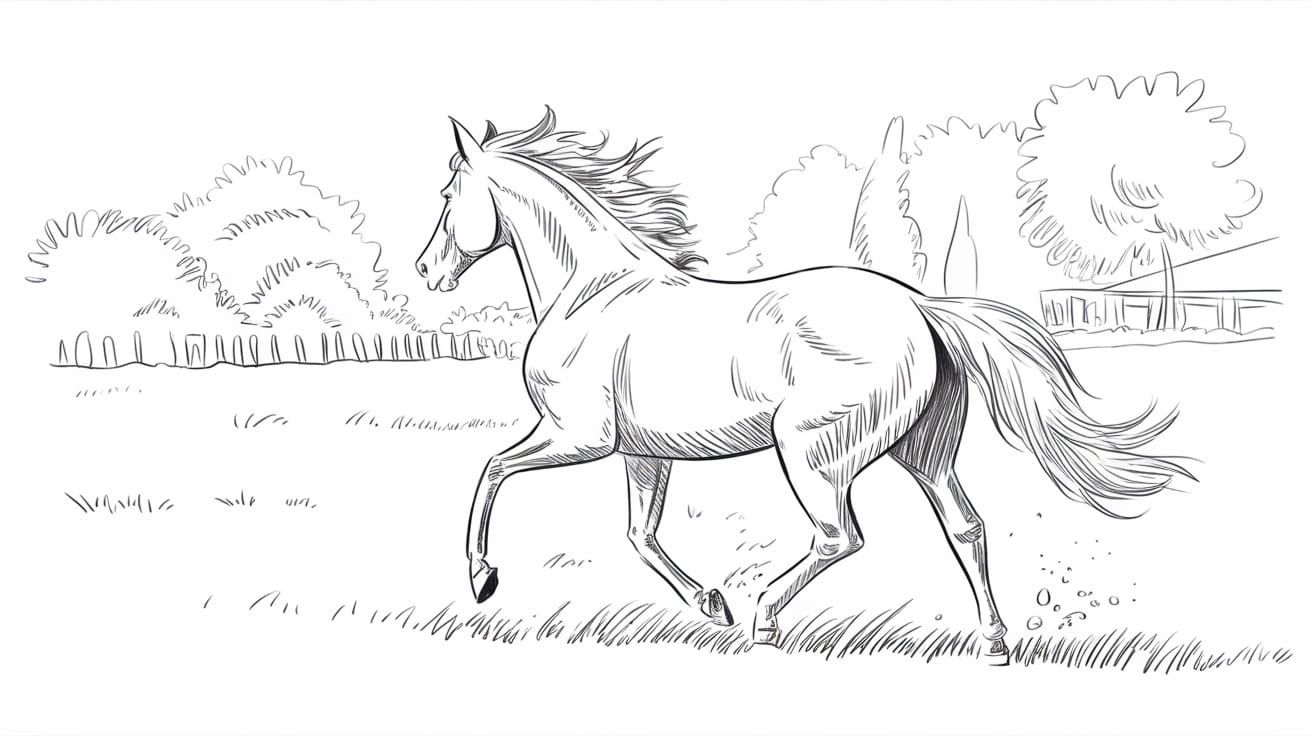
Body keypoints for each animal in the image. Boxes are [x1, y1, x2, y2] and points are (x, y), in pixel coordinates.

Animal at [414, 109, 1189, 663]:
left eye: (450, 192)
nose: (426, 271)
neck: (594, 291)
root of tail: (922, 309)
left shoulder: (579, 437)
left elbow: (492, 469)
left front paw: (481, 577)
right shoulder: (641, 452)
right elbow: (640, 534)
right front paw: (709, 603)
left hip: (811, 452)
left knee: (839, 536)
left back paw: (764, 620)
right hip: (923, 451)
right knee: (964, 526)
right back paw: (994, 643)